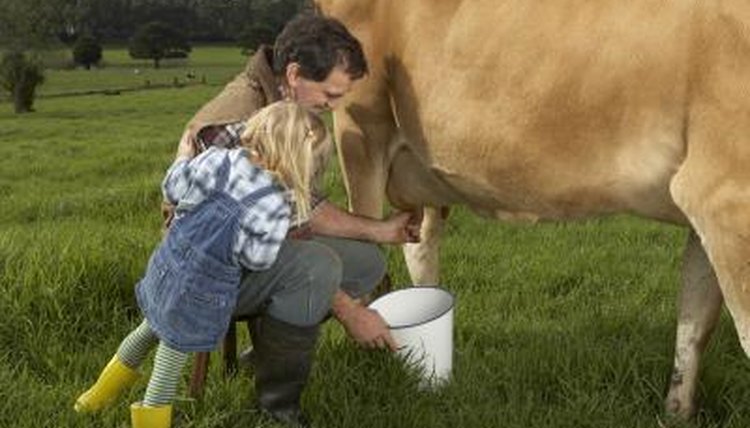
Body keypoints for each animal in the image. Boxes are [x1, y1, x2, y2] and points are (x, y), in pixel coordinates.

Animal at [314, 0, 750, 422]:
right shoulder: (724, 195)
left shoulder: (707, 206)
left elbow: (695, 320)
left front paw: (677, 412)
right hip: (361, 128)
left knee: (419, 247)